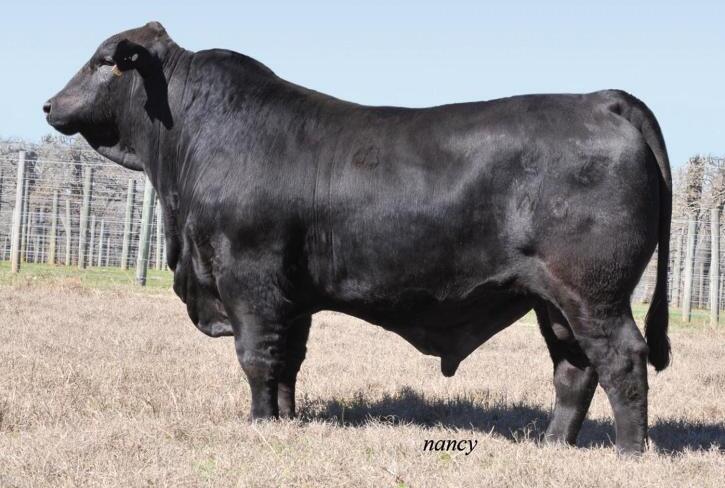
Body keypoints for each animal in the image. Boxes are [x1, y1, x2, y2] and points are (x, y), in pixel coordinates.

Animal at [44, 22, 672, 454]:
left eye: (102, 61)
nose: (49, 104)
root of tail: (600, 99)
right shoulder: (290, 295)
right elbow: (287, 359)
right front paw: (286, 420)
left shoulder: (247, 275)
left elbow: (256, 355)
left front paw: (258, 424)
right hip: (554, 301)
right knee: (574, 367)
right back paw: (552, 444)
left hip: (593, 292)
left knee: (621, 358)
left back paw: (629, 453)